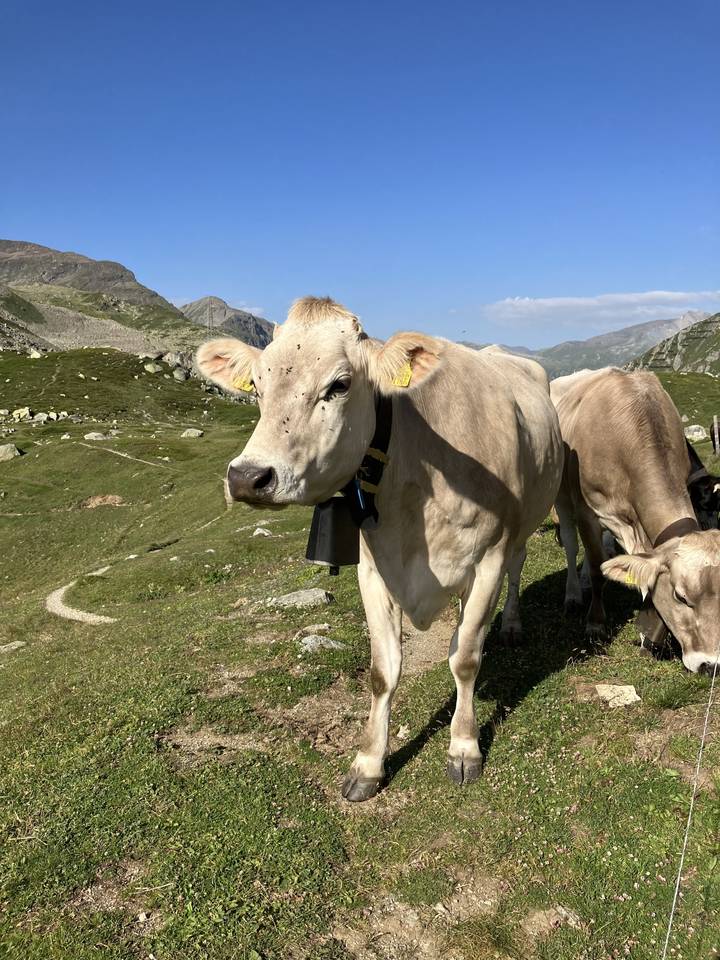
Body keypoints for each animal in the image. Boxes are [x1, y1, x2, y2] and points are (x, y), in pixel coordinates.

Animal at [197, 297, 563, 801]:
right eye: (257, 384)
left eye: (340, 384)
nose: (248, 477)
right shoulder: (374, 570)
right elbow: (383, 671)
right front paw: (369, 763)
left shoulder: (487, 559)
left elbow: (466, 658)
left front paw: (464, 747)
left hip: (522, 528)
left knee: (516, 569)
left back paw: (510, 624)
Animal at [551, 366, 720, 674]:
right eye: (680, 596)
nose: (710, 665)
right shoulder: (587, 510)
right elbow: (598, 568)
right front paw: (595, 623)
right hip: (561, 493)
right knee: (570, 541)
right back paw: (573, 593)